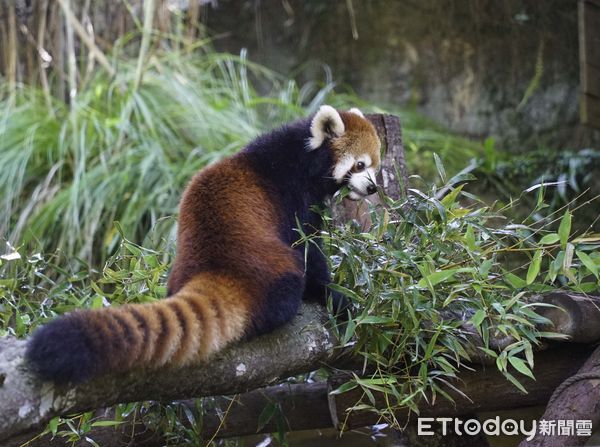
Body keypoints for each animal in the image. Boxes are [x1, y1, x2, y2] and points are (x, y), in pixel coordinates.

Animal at [25, 106, 380, 384]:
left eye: (375, 165)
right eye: (359, 165)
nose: (373, 188)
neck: (302, 157)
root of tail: (216, 265)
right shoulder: (292, 193)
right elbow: (308, 247)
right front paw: (332, 292)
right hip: (273, 263)